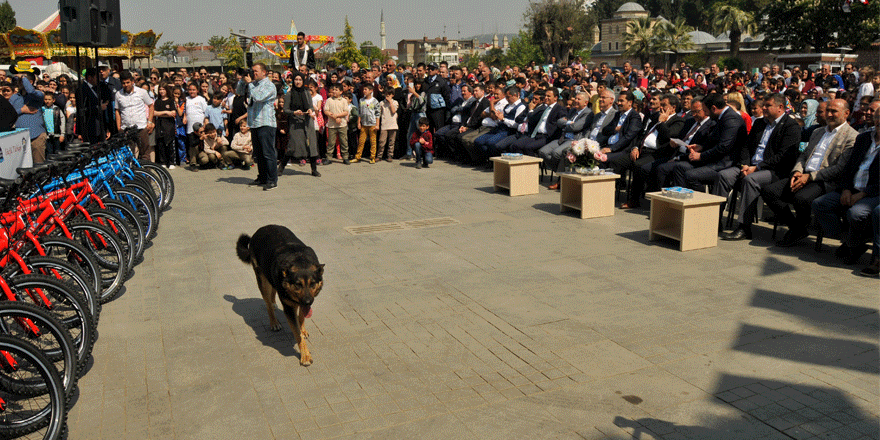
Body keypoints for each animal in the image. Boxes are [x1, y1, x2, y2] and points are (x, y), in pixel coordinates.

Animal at [235, 225, 324, 366]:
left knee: (273, 294)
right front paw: (305, 356)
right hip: (262, 281)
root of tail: (262, 228)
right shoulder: (289, 308)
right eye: (298, 285)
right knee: (268, 304)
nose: (308, 301)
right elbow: (297, 334)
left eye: (312, 284)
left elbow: (301, 318)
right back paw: (274, 322)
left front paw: (303, 330)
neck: (300, 261)